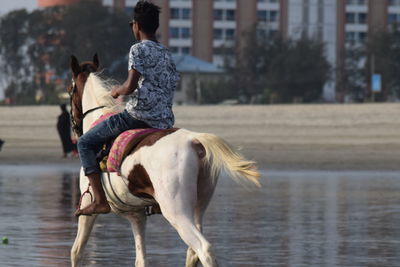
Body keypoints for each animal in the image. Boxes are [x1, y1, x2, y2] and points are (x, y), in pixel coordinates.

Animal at [68, 55, 262, 267]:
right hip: (199, 206)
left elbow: (76, 252)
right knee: (192, 251)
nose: (74, 129)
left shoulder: (89, 208)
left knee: (204, 249)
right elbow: (141, 260)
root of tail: (193, 140)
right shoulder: (136, 215)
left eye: (70, 90)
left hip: (175, 210)